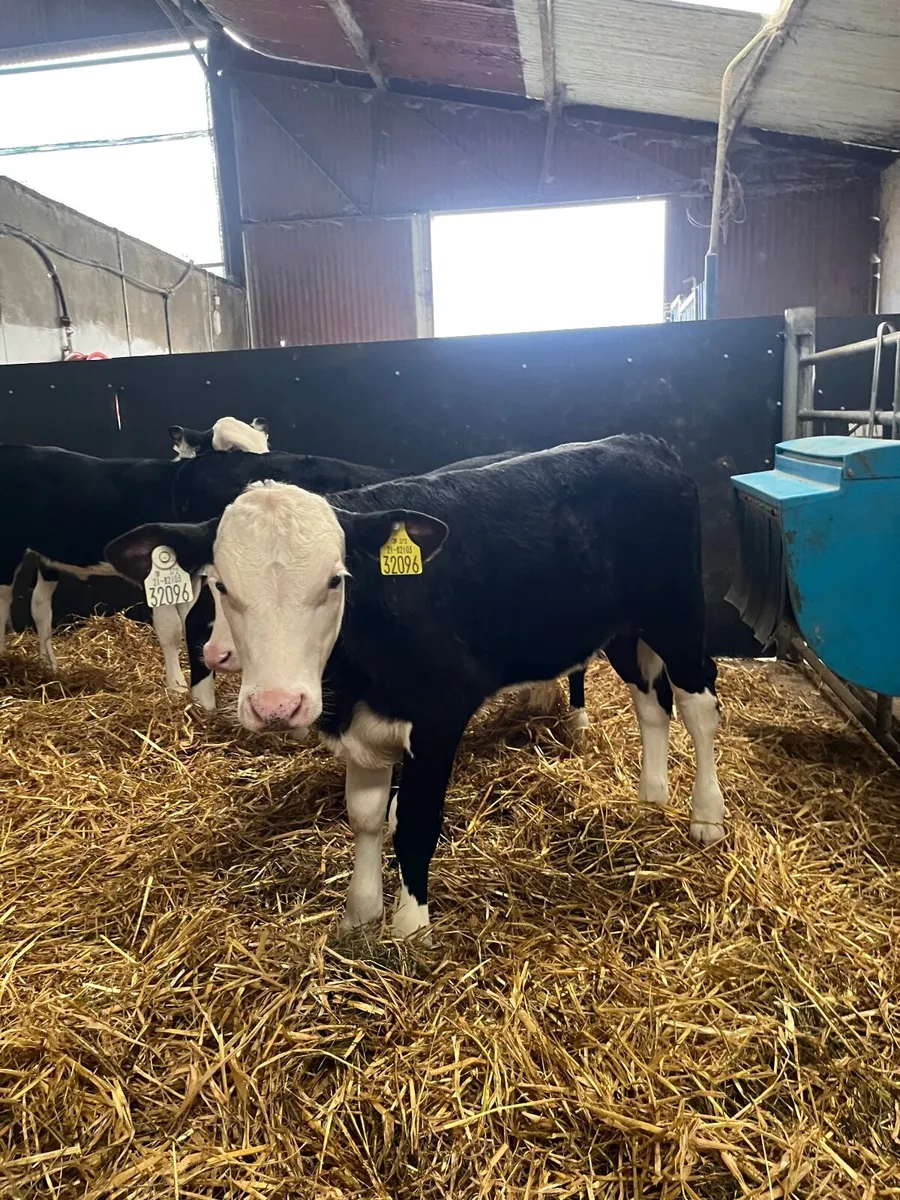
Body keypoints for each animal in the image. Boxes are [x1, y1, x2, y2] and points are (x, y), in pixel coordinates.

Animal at [105, 434, 726, 940]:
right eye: (222, 585)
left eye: (336, 580)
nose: (277, 705)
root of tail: (638, 442)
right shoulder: (360, 727)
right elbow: (366, 816)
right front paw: (360, 914)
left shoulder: (438, 717)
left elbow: (416, 822)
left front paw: (409, 927)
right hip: (623, 628)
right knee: (651, 703)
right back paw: (651, 795)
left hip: (679, 614)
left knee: (698, 706)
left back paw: (707, 818)